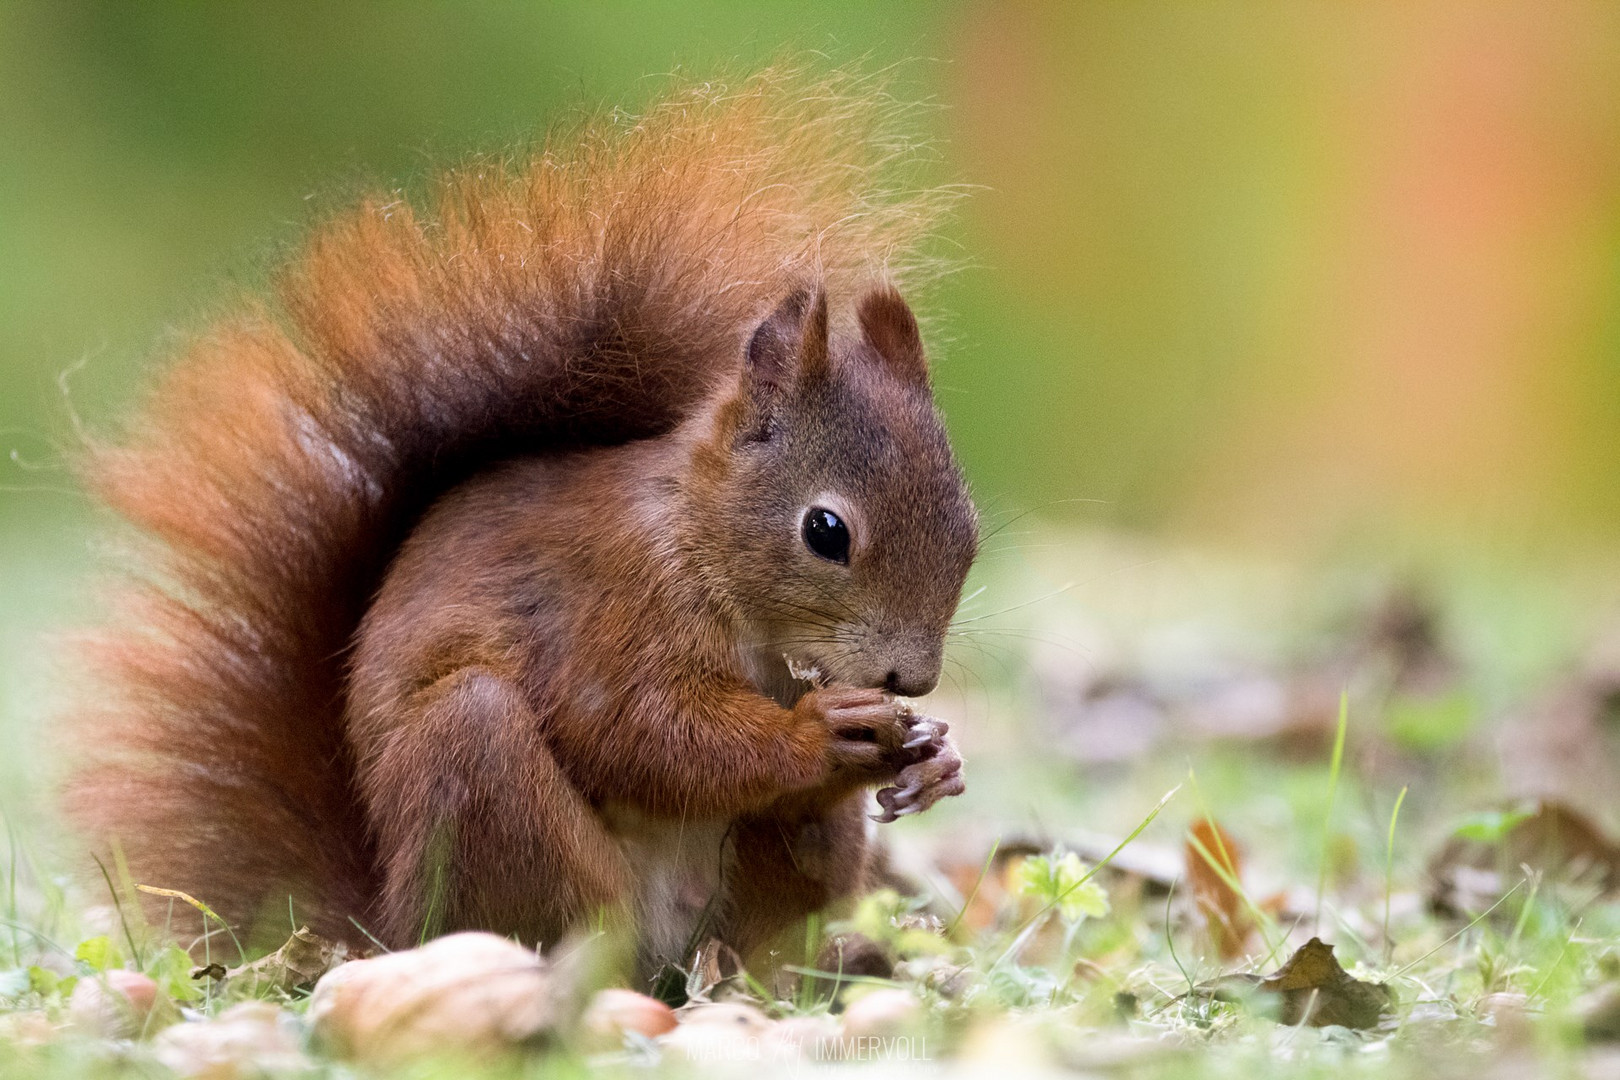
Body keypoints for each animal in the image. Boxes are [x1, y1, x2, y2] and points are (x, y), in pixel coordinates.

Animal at [63, 69, 972, 977]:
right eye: (826, 531)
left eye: (967, 523)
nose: (913, 679)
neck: (700, 541)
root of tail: (387, 926)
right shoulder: (610, 603)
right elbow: (643, 733)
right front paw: (819, 731)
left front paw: (936, 756)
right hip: (479, 768)